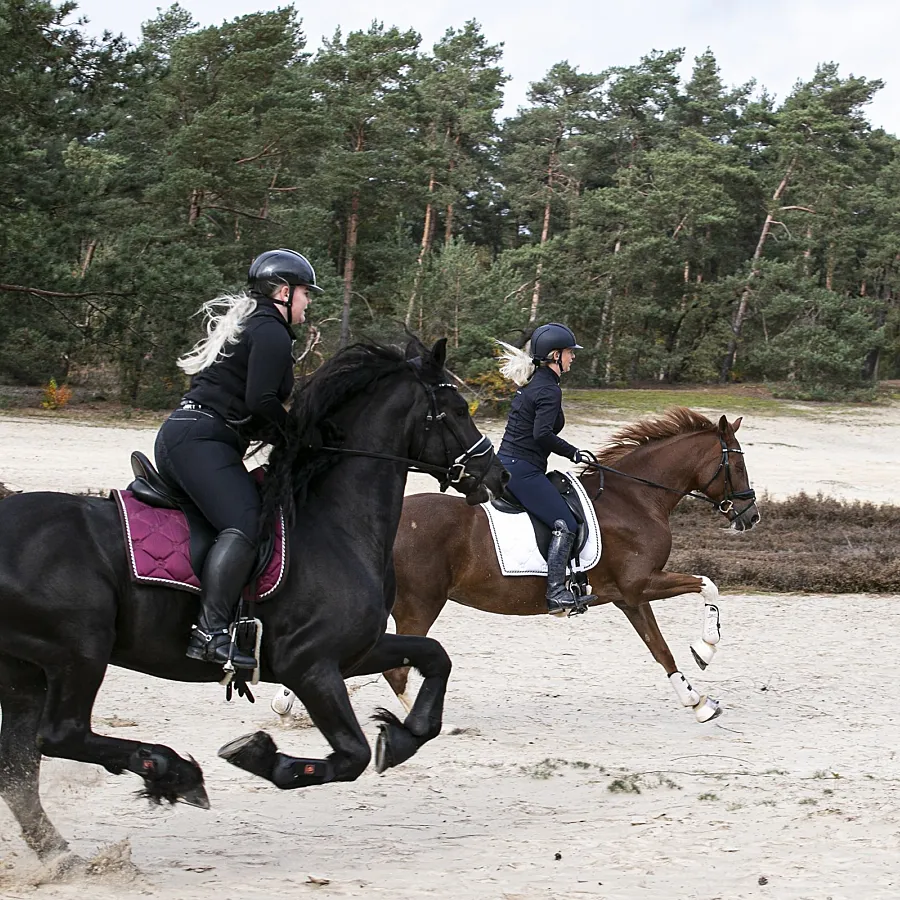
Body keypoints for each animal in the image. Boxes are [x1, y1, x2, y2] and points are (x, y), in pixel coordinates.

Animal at [0, 340, 506, 864]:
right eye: (457, 410)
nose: (498, 475)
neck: (334, 523)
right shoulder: (309, 665)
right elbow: (352, 756)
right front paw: (260, 755)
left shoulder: (355, 651)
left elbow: (435, 658)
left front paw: (406, 736)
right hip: (79, 651)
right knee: (60, 735)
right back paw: (172, 772)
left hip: (24, 670)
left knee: (17, 768)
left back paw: (60, 855)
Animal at [274, 408, 760, 724]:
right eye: (736, 463)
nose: (750, 516)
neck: (637, 498)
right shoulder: (641, 584)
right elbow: (708, 586)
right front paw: (706, 648)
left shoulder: (628, 597)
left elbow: (660, 649)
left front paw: (697, 701)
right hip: (420, 604)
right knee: (393, 667)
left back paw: (286, 700)